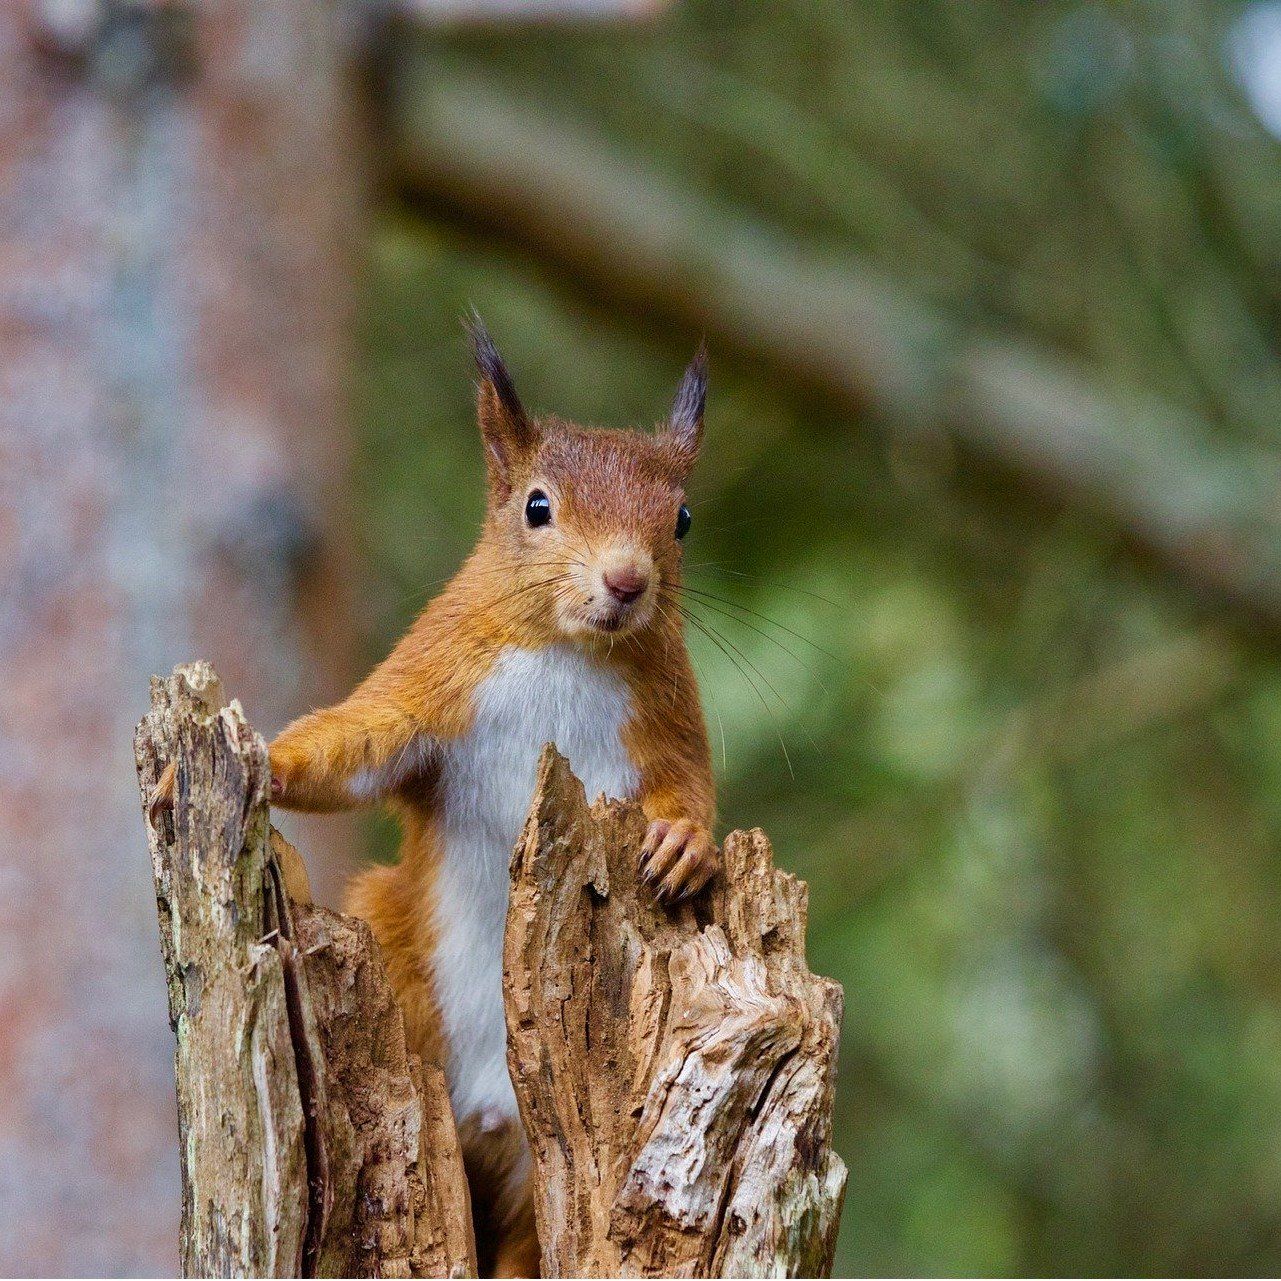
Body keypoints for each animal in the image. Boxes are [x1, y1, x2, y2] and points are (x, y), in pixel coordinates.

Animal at [217, 320, 717, 1276]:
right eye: (535, 506)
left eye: (681, 518)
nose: (627, 580)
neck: (566, 649)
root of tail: (488, 1111)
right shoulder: (432, 680)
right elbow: (357, 745)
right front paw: (268, 757)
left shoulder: (667, 718)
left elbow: (689, 787)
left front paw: (686, 844)